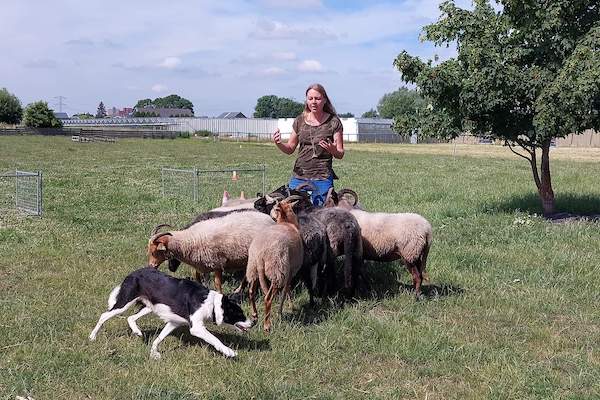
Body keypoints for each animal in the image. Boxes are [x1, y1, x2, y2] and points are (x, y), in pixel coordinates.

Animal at [89, 268, 255, 360]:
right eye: (240, 314)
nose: (253, 323)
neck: (212, 304)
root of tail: (132, 274)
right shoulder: (196, 328)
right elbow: (215, 339)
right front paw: (229, 351)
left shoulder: (173, 322)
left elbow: (158, 339)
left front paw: (154, 353)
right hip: (124, 303)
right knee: (104, 315)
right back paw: (92, 337)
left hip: (150, 306)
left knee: (130, 317)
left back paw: (137, 331)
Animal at [245, 198, 302, 332]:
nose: (271, 214)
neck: (287, 223)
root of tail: (260, 253)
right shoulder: (290, 271)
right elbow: (286, 291)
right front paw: (285, 310)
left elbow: (287, 290)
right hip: (277, 269)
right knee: (268, 297)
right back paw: (267, 326)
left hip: (253, 268)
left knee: (251, 291)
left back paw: (255, 315)